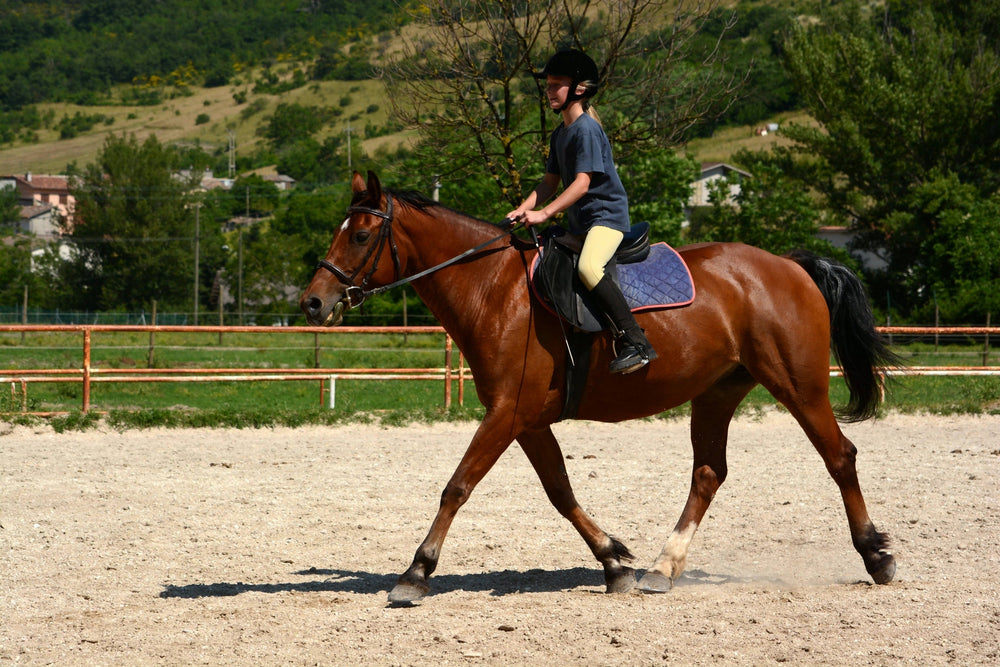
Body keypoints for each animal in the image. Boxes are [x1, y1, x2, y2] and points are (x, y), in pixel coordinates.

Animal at [300, 171, 898, 603]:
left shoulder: (506, 414)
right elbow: (561, 492)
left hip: (798, 386)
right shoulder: (526, 420)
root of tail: (789, 265)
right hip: (717, 391)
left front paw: (416, 572)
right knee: (708, 473)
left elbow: (457, 487)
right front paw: (614, 562)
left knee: (839, 456)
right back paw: (663, 567)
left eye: (360, 235)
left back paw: (876, 555)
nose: (312, 302)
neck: (493, 289)